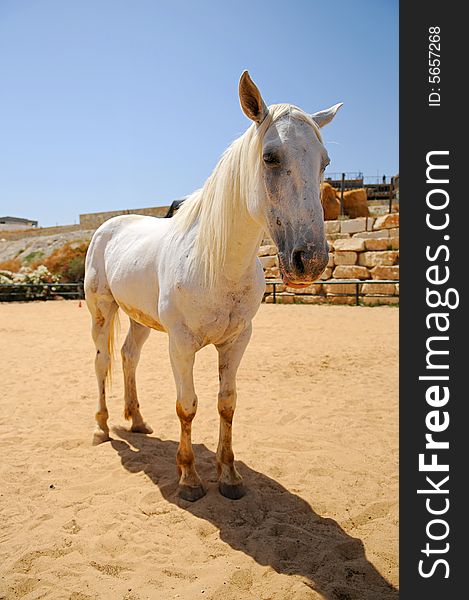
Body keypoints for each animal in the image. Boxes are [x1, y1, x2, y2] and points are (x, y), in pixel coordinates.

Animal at [84, 71, 340, 502]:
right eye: (270, 157)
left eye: (324, 162)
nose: (312, 260)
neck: (215, 264)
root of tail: (109, 226)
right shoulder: (181, 345)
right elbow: (187, 406)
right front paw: (189, 479)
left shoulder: (237, 341)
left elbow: (227, 404)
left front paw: (230, 475)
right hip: (102, 312)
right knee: (103, 363)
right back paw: (102, 429)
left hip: (139, 319)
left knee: (128, 357)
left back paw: (137, 421)